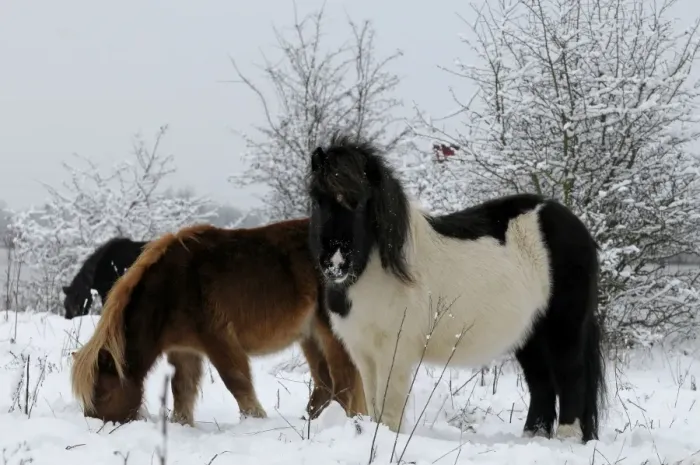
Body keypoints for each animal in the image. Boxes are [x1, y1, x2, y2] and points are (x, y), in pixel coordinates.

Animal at [70, 219, 366, 427]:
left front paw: (255, 422)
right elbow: (182, 391)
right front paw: (182, 425)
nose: (97, 425)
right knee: (325, 385)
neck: (172, 287)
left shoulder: (219, 340)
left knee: (344, 383)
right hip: (310, 336)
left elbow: (237, 383)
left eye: (102, 393)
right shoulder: (184, 351)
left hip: (330, 333)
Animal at [306, 134, 606, 443]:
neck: (376, 270)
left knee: (571, 379)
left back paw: (566, 439)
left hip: (564, 329)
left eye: (361, 203)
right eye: (317, 200)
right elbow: (374, 404)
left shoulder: (394, 353)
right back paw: (533, 438)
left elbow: (389, 410)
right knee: (542, 385)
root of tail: (574, 225)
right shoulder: (363, 353)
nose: (335, 263)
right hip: (531, 334)